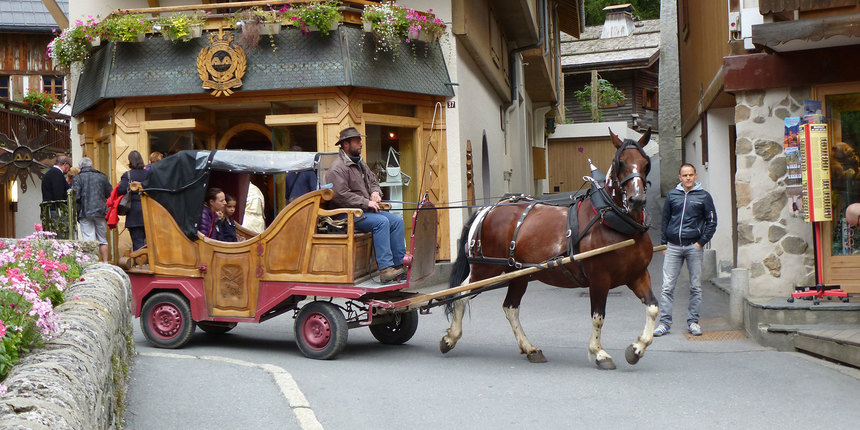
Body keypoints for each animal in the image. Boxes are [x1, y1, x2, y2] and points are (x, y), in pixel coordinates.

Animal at [444, 128, 660, 370]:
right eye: (620, 162)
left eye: (645, 163)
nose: (636, 200)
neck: (614, 223)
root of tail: (489, 208)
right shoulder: (599, 278)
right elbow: (598, 317)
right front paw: (599, 353)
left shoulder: (637, 275)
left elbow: (653, 307)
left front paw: (637, 348)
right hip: (484, 270)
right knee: (459, 294)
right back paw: (451, 337)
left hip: (518, 274)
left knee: (510, 307)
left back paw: (530, 348)